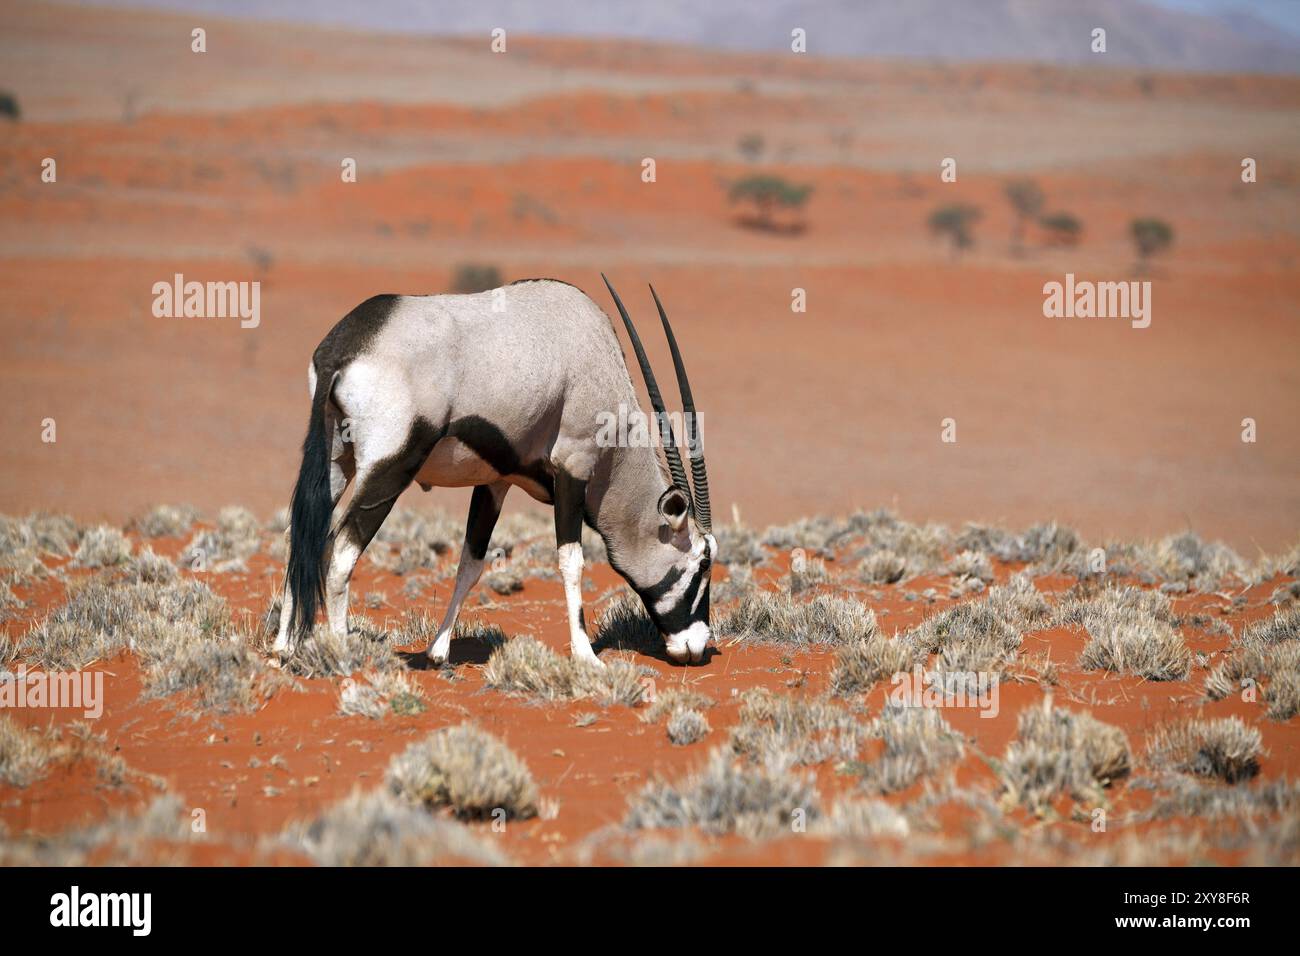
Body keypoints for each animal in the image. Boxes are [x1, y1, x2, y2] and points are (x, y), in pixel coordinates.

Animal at [274, 274, 717, 665]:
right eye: (702, 563)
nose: (695, 648)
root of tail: (345, 346)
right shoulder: (573, 468)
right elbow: (571, 561)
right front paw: (587, 656)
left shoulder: (495, 483)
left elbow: (470, 563)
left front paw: (438, 652)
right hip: (388, 468)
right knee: (341, 551)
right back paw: (341, 652)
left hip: (338, 461)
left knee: (302, 536)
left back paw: (283, 649)